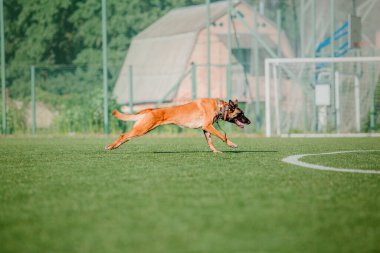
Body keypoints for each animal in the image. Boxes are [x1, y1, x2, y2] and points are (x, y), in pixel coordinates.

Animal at [105, 97, 251, 152]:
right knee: (124, 135)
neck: (220, 107)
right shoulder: (208, 126)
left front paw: (215, 151)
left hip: (141, 129)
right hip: (142, 129)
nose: (249, 121)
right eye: (241, 114)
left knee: (126, 137)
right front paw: (231, 144)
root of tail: (150, 110)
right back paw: (111, 146)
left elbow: (210, 142)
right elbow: (222, 136)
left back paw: (114, 146)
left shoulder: (206, 129)